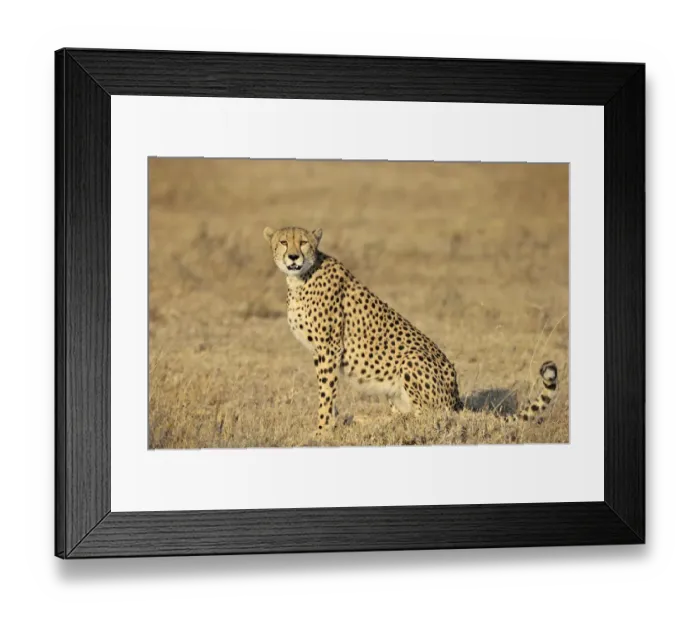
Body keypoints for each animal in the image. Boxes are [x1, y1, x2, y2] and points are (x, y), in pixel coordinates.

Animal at [263, 226, 559, 437]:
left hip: (411, 360)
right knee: (407, 416)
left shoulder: (329, 348)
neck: (300, 278)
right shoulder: (325, 352)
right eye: (283, 242)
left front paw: (322, 430)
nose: (293, 257)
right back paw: (365, 420)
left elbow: (326, 393)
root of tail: (456, 399)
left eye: (303, 242)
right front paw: (331, 424)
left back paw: (370, 422)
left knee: (428, 418)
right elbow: (330, 392)